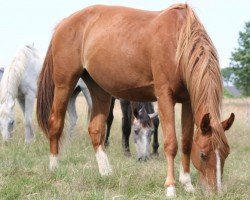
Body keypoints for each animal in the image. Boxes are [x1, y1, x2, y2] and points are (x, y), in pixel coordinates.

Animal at [36, 3, 234, 198]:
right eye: (203, 155)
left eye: (226, 153)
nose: (216, 192)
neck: (178, 42)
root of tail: (64, 23)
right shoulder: (164, 97)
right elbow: (171, 143)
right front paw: (170, 187)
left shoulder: (188, 101)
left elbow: (186, 142)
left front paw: (187, 184)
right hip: (64, 84)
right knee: (55, 123)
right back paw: (54, 168)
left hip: (99, 89)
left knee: (96, 130)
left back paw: (106, 173)